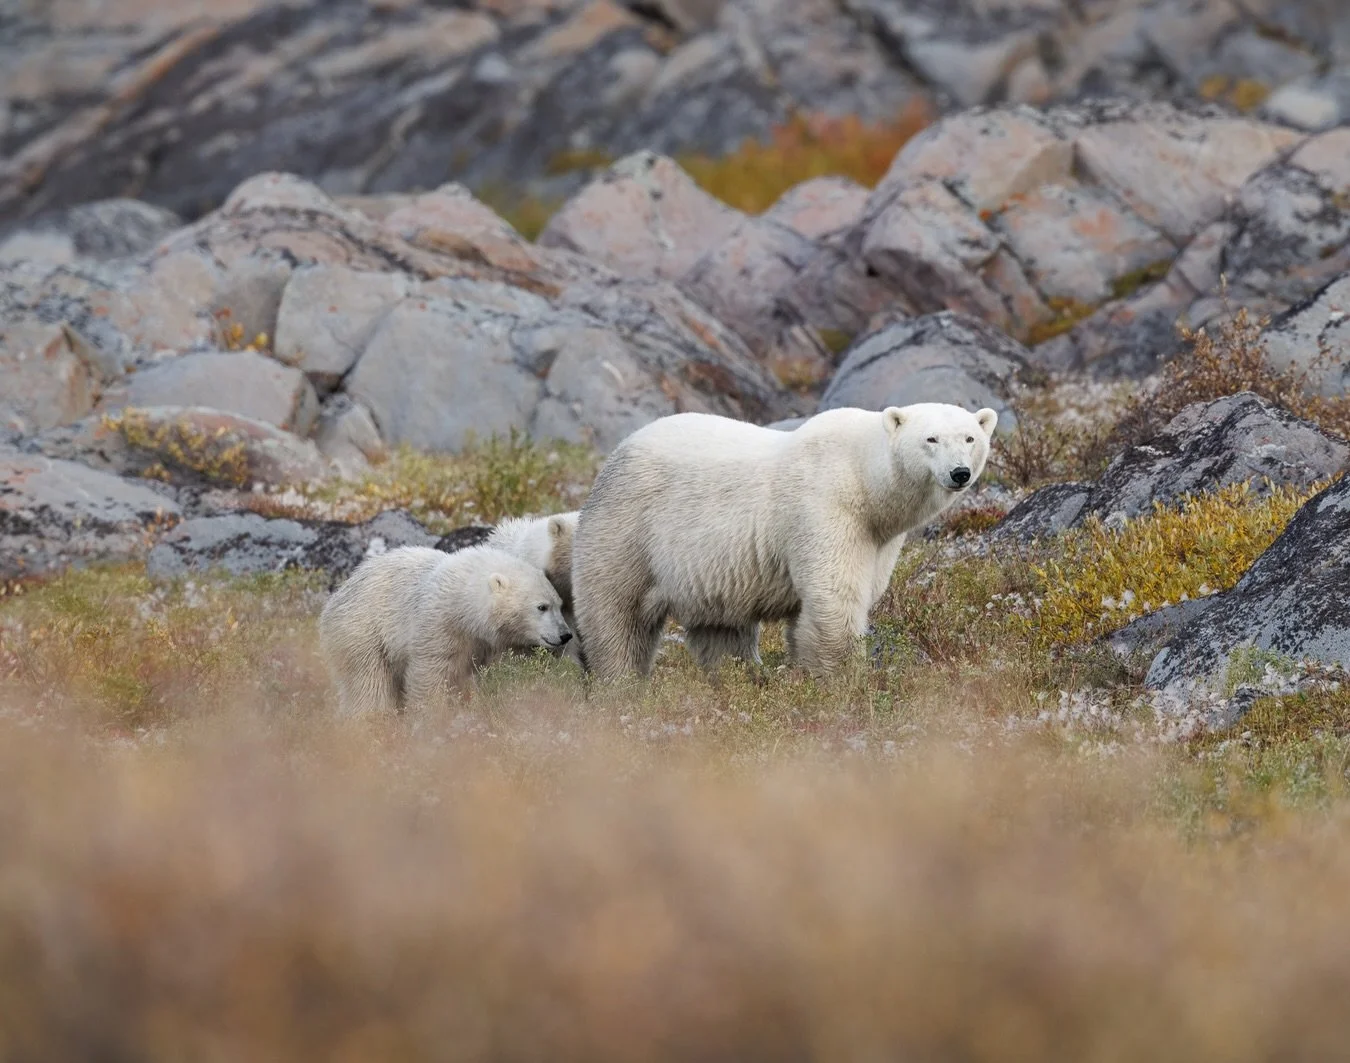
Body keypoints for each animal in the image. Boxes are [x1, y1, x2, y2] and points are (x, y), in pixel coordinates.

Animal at [318, 544, 571, 716]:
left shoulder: (494, 642)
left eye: (559, 604)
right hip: (363, 632)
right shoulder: (438, 625)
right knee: (369, 684)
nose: (565, 634)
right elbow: (430, 675)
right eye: (542, 606)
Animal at [570, 403, 997, 679]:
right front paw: (838, 679)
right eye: (931, 439)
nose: (959, 473)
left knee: (722, 629)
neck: (862, 477)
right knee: (618, 613)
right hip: (629, 527)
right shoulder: (825, 507)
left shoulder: (879, 537)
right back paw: (621, 680)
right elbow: (833, 596)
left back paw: (744, 676)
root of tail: (616, 455)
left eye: (970, 437)